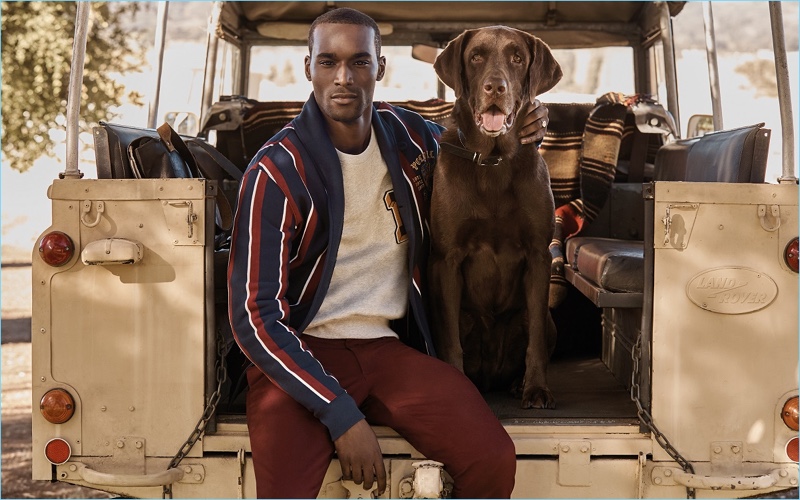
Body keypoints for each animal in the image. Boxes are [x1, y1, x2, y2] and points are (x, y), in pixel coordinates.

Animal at [432, 26, 564, 406]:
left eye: (517, 58)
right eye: (476, 56)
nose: (495, 88)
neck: (492, 161)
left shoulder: (538, 256)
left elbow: (535, 338)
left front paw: (536, 388)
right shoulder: (447, 260)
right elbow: (450, 342)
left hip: (545, 319)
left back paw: (518, 383)